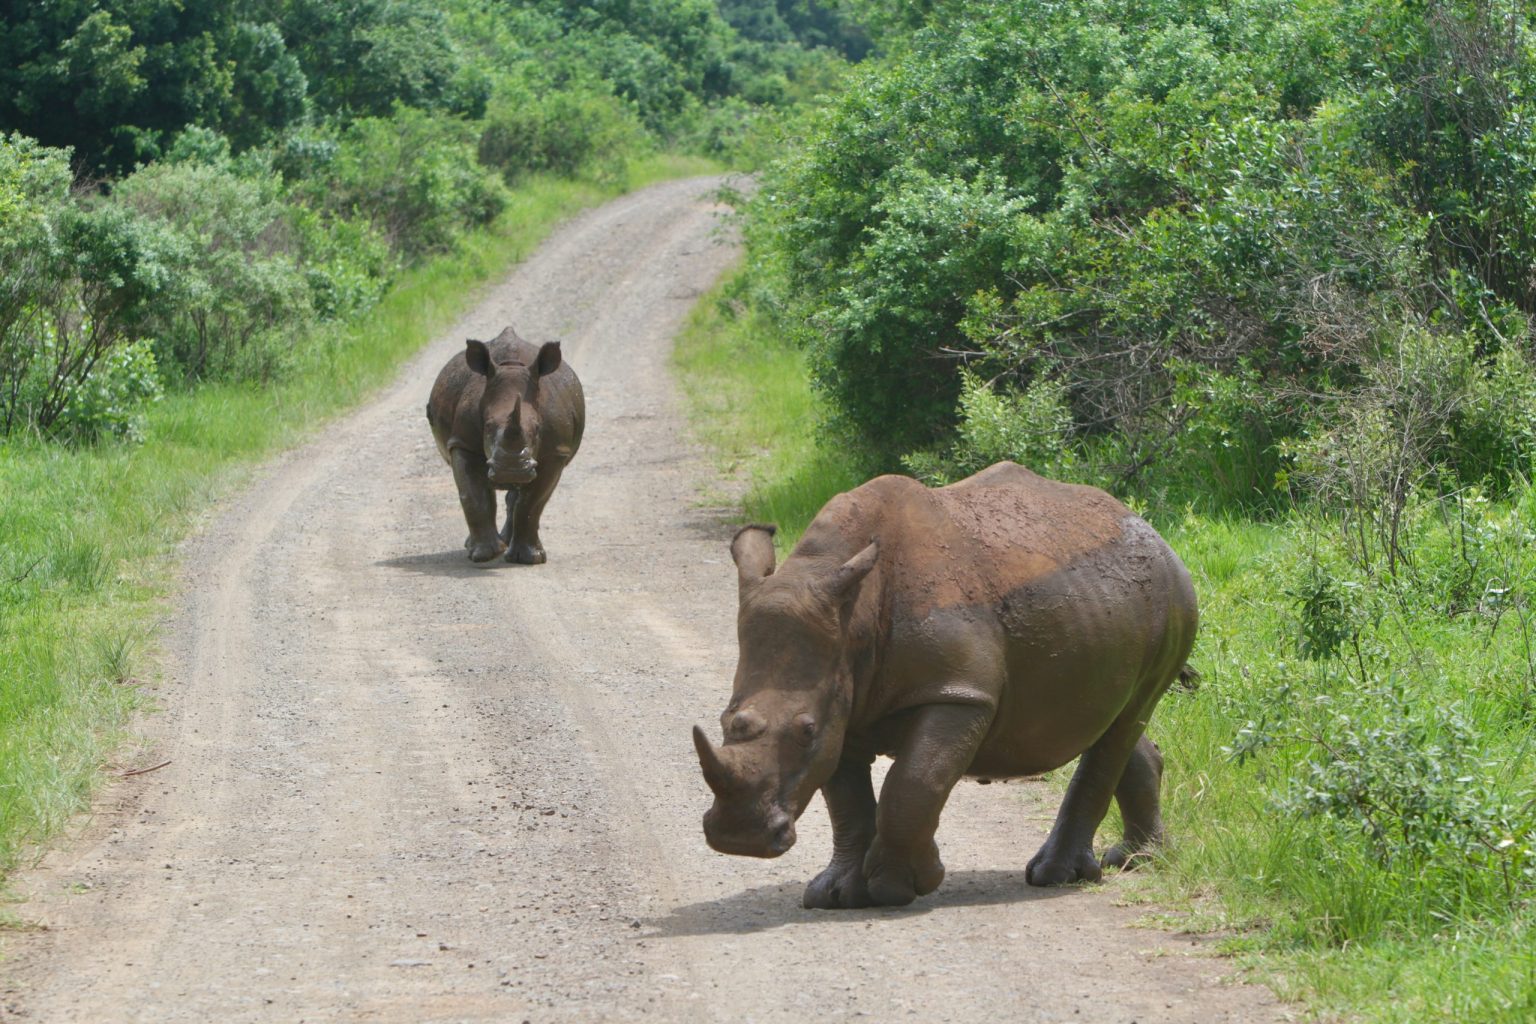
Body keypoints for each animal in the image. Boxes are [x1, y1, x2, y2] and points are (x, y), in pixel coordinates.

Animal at [426, 326, 584, 563]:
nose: (511, 471)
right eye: (488, 426)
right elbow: (473, 495)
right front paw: (484, 554)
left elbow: (532, 502)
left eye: (538, 428)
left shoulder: (555, 452)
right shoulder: (463, 443)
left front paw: (529, 559)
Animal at [693, 462, 1198, 908]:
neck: (853, 618)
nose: (738, 838)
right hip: (1105, 601)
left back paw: (1057, 875)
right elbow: (846, 802)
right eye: (725, 720)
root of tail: (1152, 531)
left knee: (1127, 718)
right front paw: (836, 896)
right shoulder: (843, 699)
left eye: (806, 730)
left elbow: (914, 783)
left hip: (1171, 595)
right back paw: (1136, 858)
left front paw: (903, 885)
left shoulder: (958, 692)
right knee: (1112, 722)